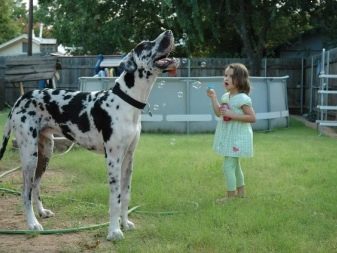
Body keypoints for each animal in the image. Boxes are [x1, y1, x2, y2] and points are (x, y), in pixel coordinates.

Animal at [0, 30, 178, 240]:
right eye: (145, 45)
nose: (168, 32)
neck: (125, 101)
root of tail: (21, 98)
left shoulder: (128, 158)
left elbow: (126, 195)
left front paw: (125, 224)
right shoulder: (113, 159)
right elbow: (115, 198)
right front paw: (114, 231)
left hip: (45, 152)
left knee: (35, 185)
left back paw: (42, 213)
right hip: (29, 155)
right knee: (25, 191)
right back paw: (32, 223)